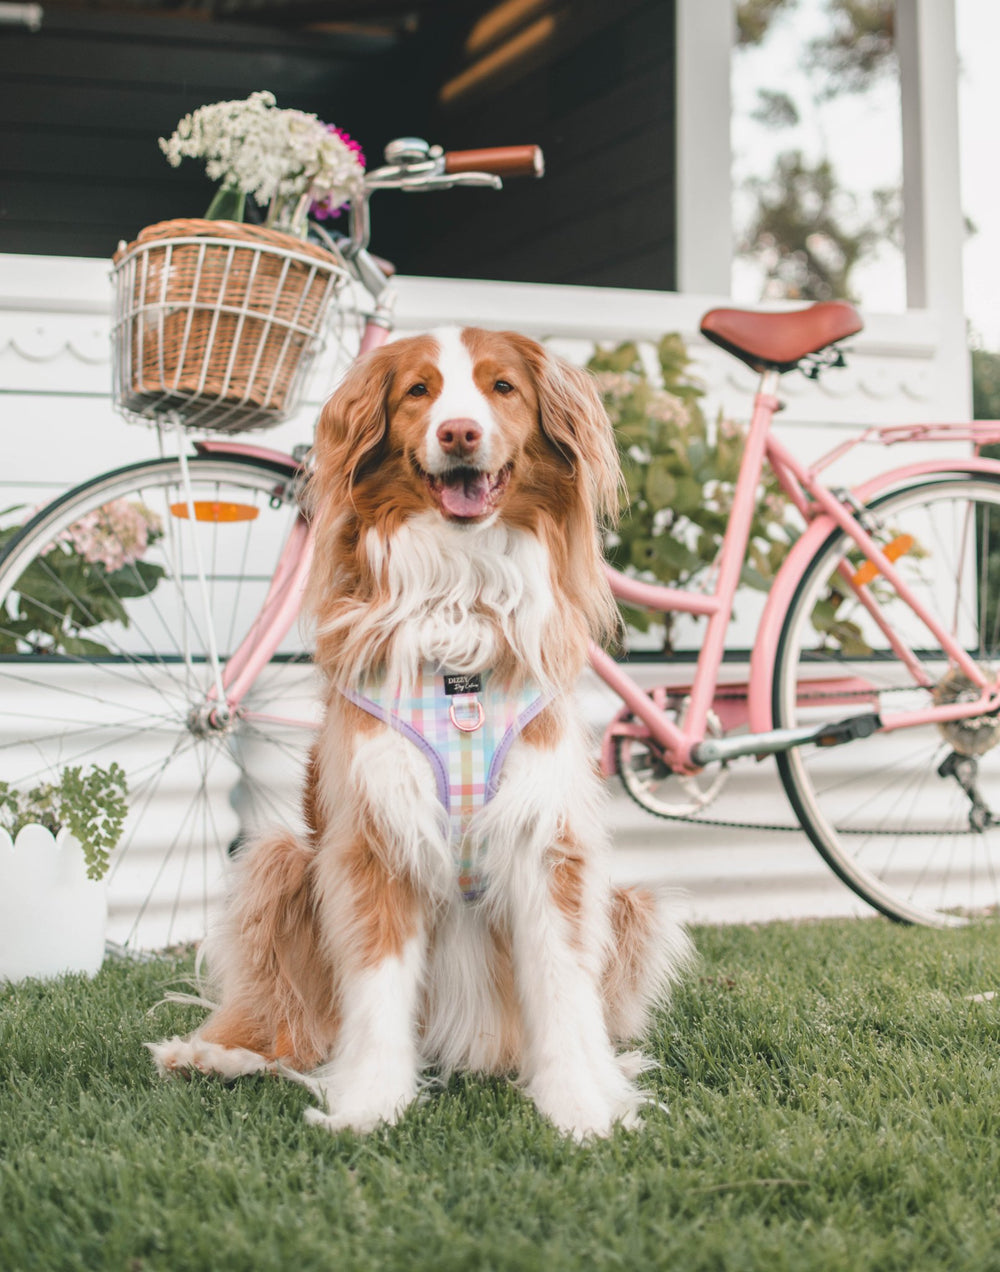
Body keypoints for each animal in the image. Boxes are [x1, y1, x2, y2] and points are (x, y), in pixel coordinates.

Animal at [150, 328, 687, 1144]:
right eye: (418, 392)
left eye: (502, 388)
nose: (458, 433)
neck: (461, 597)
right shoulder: (375, 836)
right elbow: (375, 990)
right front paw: (369, 1106)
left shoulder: (547, 839)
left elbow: (563, 989)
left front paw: (582, 1110)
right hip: (280, 860)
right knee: (293, 1023)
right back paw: (224, 1054)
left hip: (630, 905)